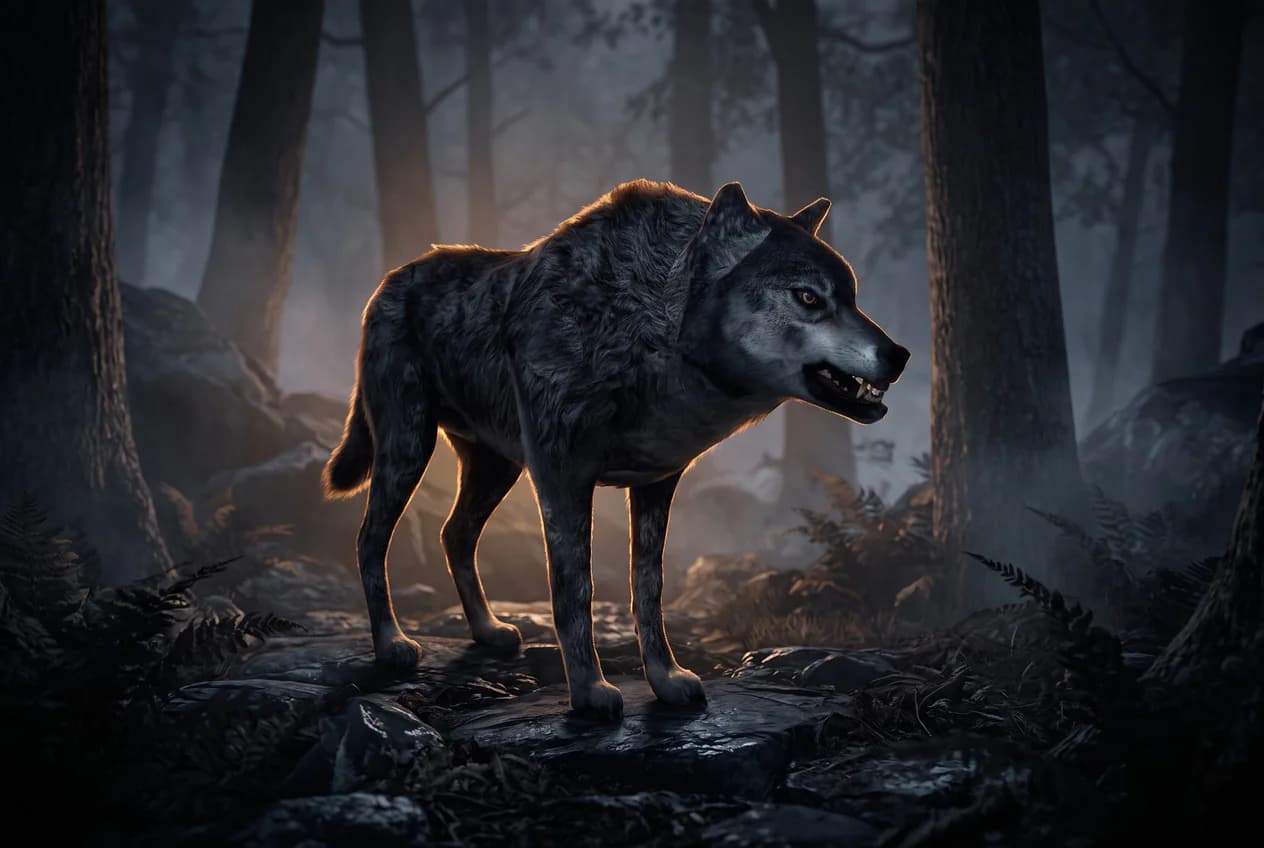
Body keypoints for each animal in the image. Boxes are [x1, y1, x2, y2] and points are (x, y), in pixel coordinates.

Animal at [322, 180, 909, 719]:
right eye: (809, 298)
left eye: (852, 297)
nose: (900, 354)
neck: (648, 330)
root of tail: (390, 279)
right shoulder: (562, 477)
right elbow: (574, 592)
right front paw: (589, 693)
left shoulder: (656, 484)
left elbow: (647, 591)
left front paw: (666, 680)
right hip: (408, 447)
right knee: (369, 539)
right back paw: (393, 645)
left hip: (496, 468)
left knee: (454, 534)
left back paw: (488, 631)